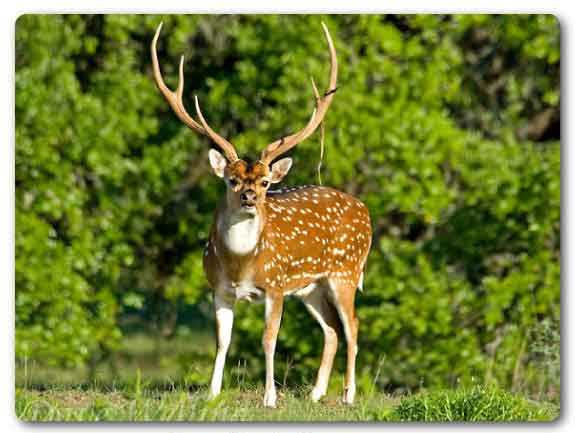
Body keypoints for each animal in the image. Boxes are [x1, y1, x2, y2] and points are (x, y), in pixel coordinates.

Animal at [151, 20, 372, 406]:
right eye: (232, 179)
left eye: (266, 181)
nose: (250, 197)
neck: (241, 265)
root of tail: (366, 212)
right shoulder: (219, 288)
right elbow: (222, 341)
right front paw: (212, 393)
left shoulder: (276, 285)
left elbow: (269, 340)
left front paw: (270, 398)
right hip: (311, 286)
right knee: (331, 328)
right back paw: (315, 393)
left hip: (345, 271)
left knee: (353, 326)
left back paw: (348, 394)